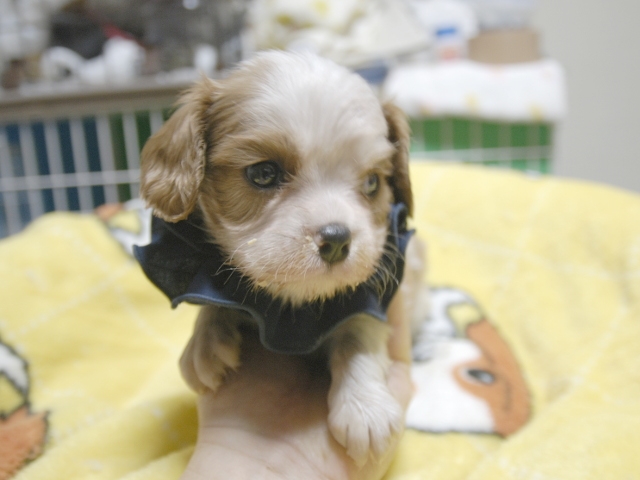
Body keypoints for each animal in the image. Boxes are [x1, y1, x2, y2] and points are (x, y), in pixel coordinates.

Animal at [137, 51, 414, 464]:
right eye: (264, 173)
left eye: (372, 183)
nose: (336, 239)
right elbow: (214, 294)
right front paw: (205, 339)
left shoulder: (378, 290)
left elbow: (359, 329)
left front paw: (365, 408)